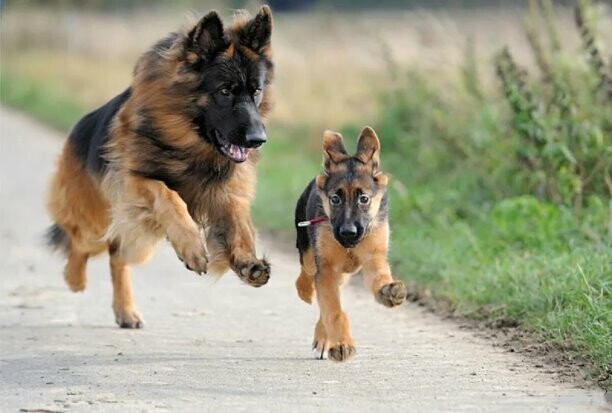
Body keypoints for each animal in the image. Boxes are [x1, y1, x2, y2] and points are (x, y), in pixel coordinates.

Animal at [47, 6, 274, 328]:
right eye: (225, 91)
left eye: (256, 91)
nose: (258, 139)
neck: (191, 145)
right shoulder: (135, 182)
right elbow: (168, 195)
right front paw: (191, 246)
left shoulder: (226, 192)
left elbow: (239, 224)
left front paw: (247, 260)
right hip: (96, 219)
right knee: (78, 240)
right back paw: (74, 278)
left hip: (136, 240)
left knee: (117, 256)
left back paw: (125, 310)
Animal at [296, 126, 406, 360]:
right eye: (335, 199)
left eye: (363, 199)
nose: (348, 233)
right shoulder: (327, 269)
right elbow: (334, 311)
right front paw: (341, 344)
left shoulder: (373, 258)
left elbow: (379, 279)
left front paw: (388, 291)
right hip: (311, 256)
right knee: (306, 276)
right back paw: (306, 292)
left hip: (343, 273)